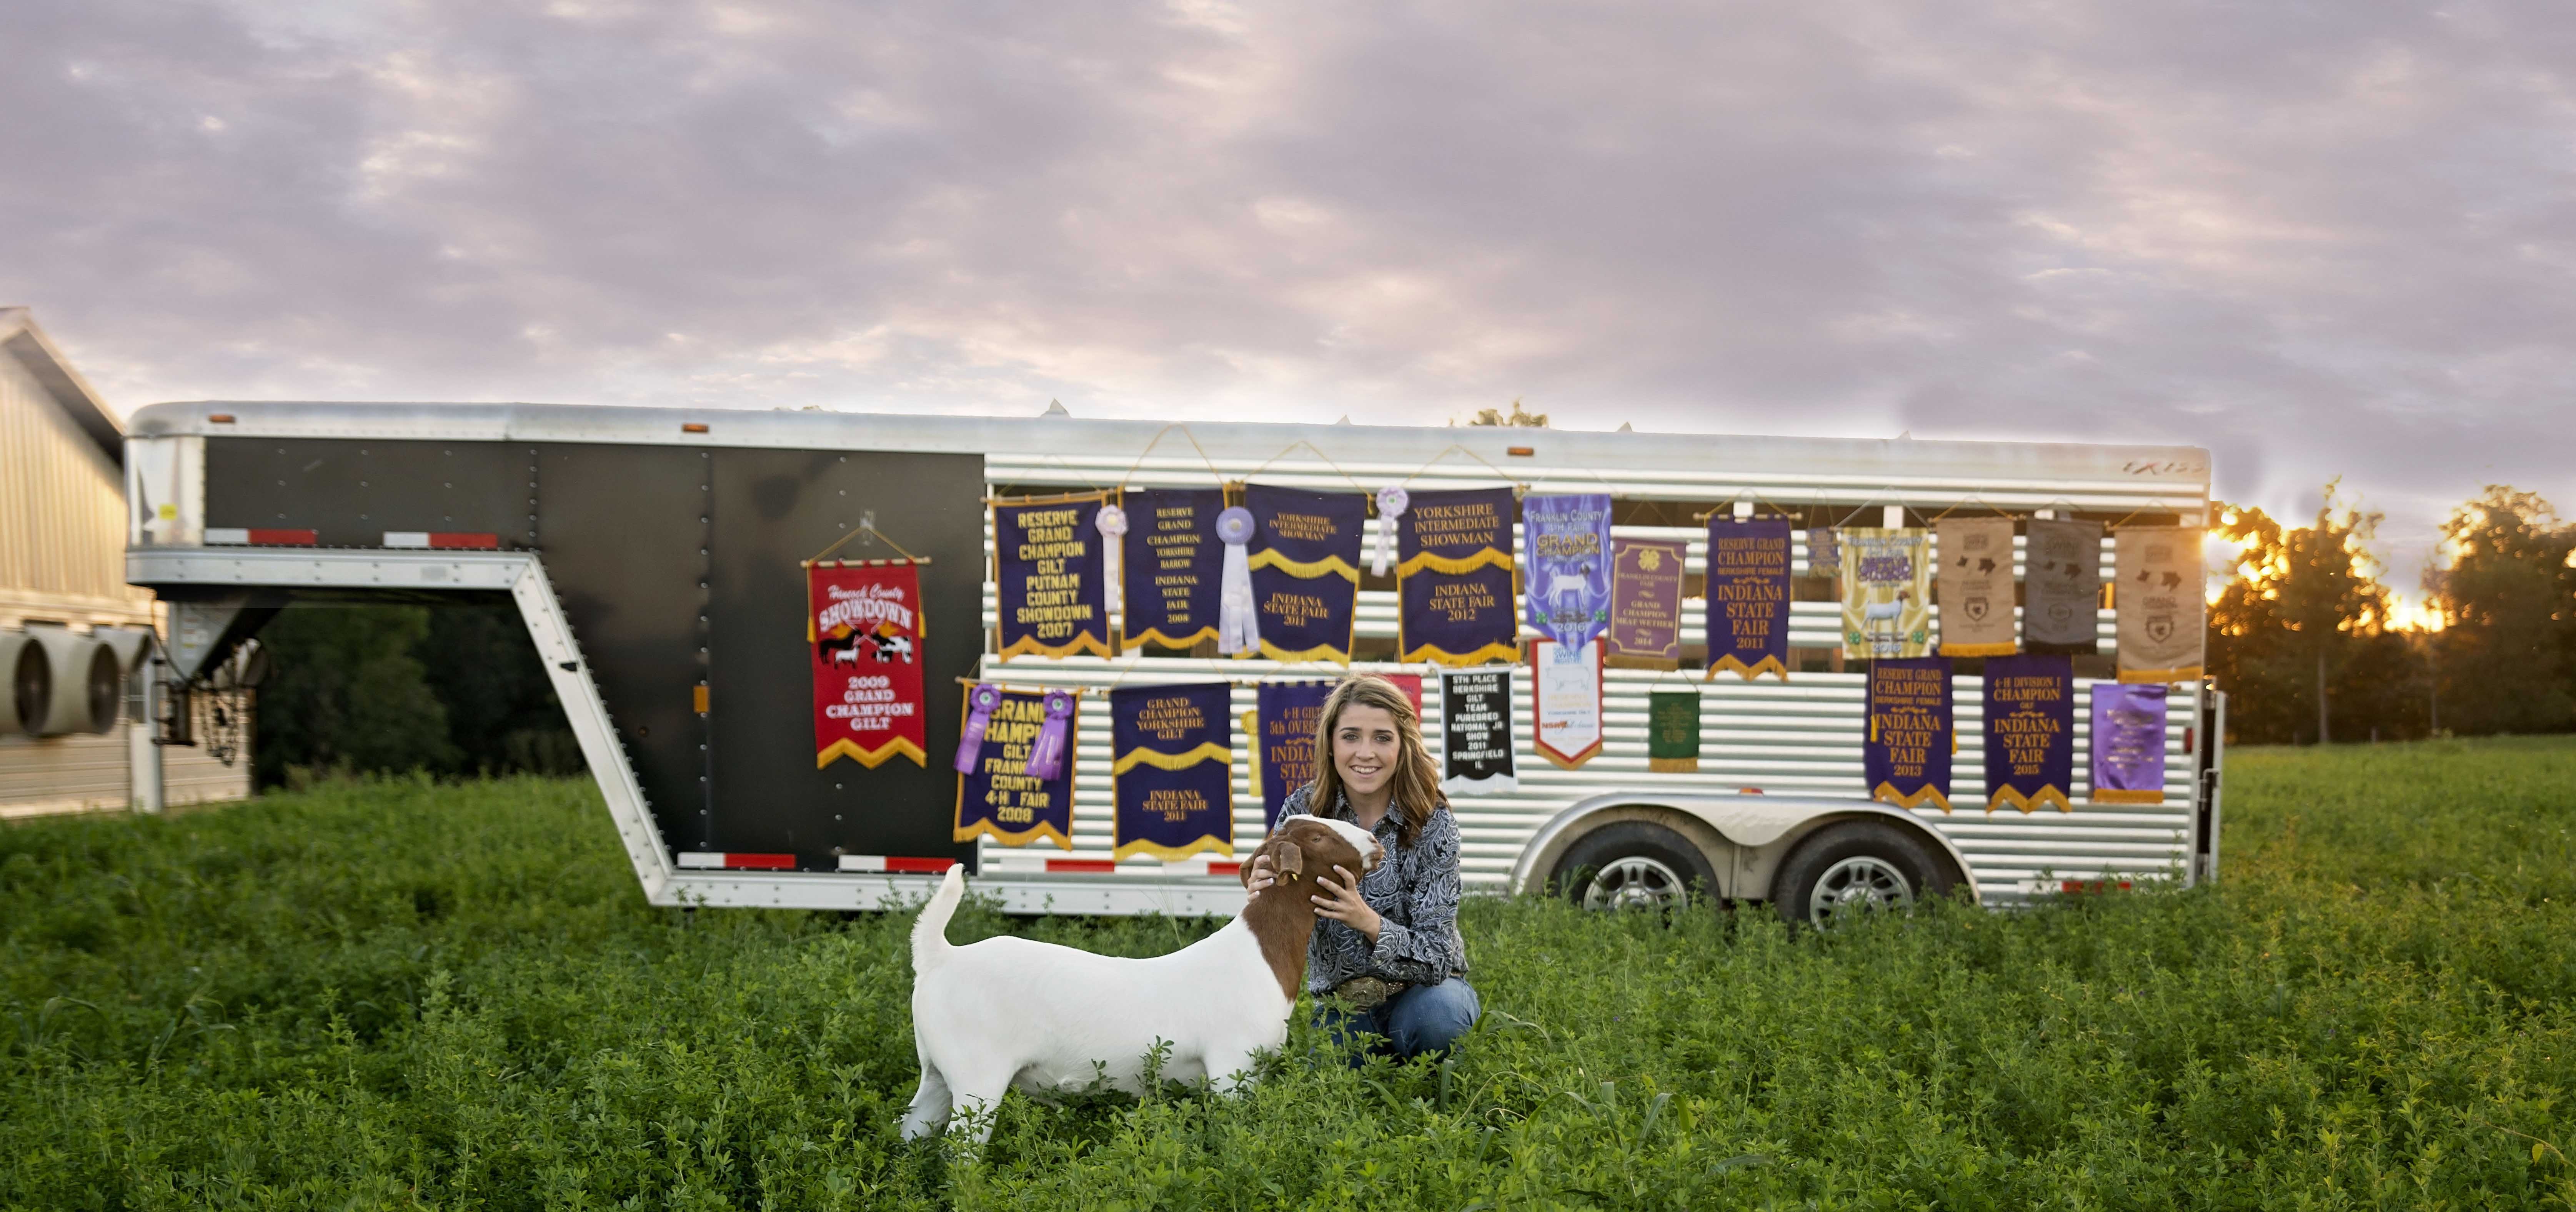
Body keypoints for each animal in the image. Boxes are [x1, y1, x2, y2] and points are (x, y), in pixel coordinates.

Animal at [907, 818, 1391, 1137]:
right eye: (1318, 836)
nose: (1374, 839)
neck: (1259, 956)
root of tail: (939, 956)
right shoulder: (1230, 1068)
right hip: (978, 1076)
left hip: (936, 1073)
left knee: (912, 1132)